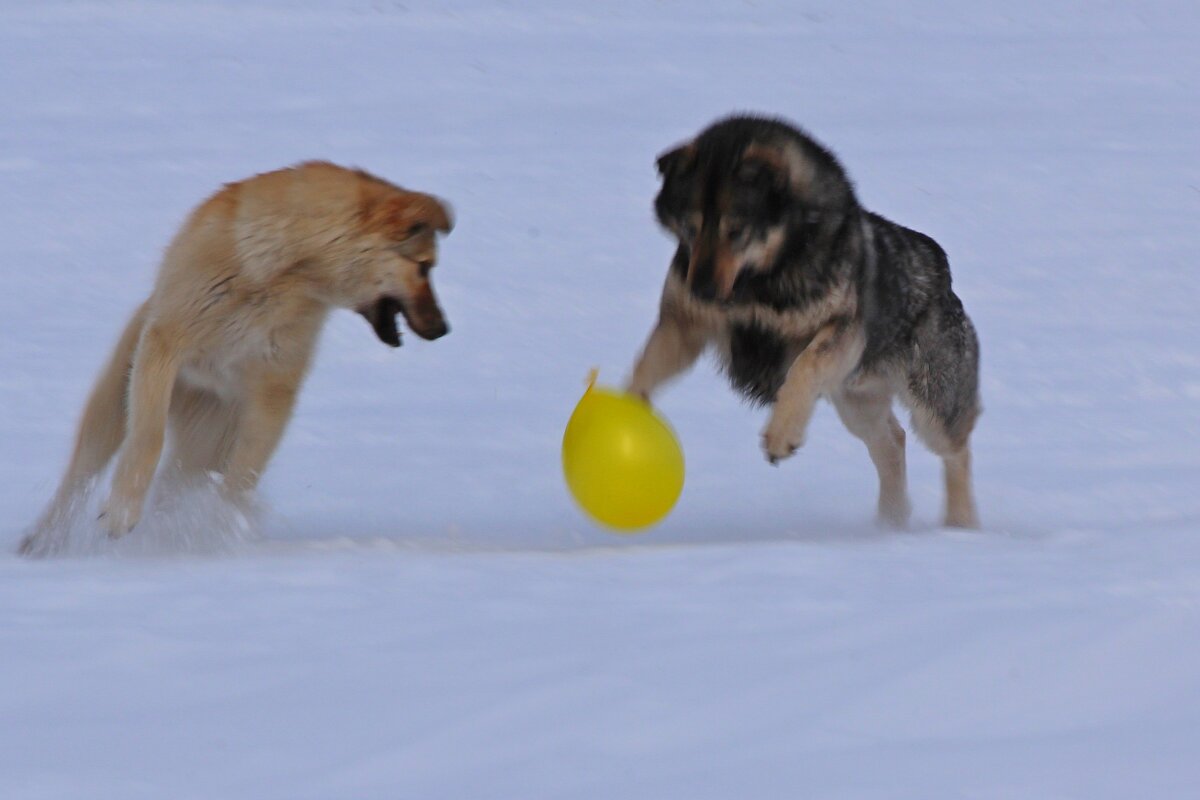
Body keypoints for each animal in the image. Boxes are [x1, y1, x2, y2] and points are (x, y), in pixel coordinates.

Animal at [21, 159, 451, 554]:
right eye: (424, 267)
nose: (443, 329)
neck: (289, 271)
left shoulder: (274, 390)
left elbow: (244, 472)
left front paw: (220, 526)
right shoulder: (164, 347)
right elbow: (148, 436)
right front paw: (122, 512)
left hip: (206, 441)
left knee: (178, 486)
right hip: (112, 406)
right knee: (78, 480)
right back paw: (42, 544)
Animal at [633, 115, 979, 527]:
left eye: (736, 231)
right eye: (690, 228)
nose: (699, 290)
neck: (763, 280)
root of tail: (941, 268)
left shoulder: (841, 332)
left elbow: (803, 368)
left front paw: (780, 434)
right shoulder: (683, 327)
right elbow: (644, 368)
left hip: (929, 402)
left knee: (955, 451)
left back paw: (959, 526)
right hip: (856, 400)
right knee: (892, 442)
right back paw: (890, 523)